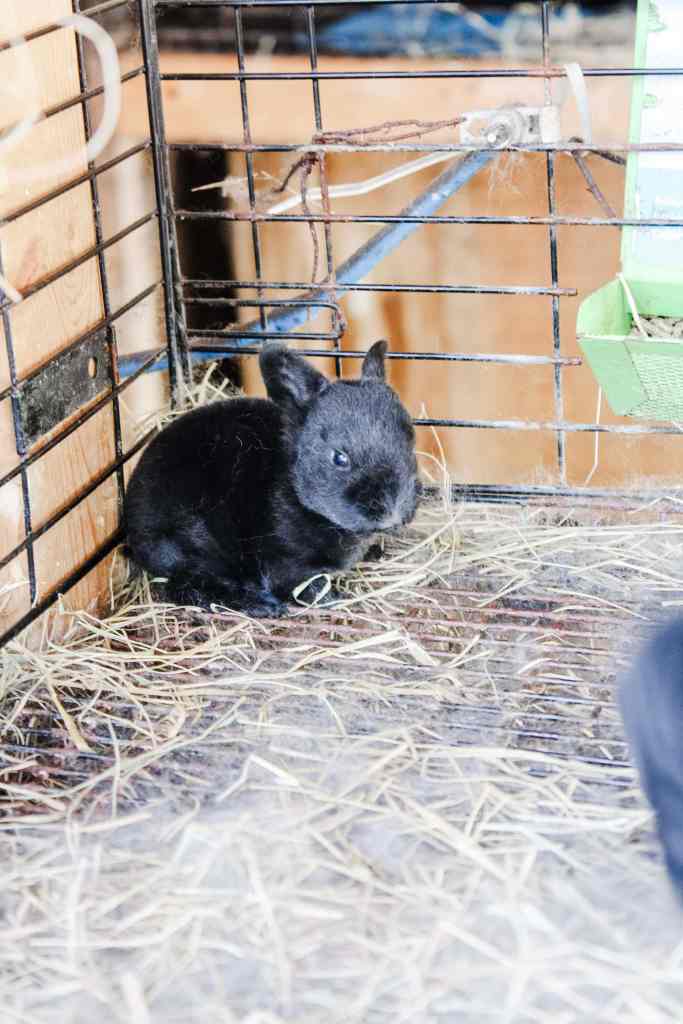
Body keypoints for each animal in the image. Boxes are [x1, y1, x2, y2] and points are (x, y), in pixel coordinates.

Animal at [124, 340, 419, 617]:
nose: (394, 511)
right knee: (189, 589)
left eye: (409, 437)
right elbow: (307, 586)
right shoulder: (286, 562)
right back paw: (262, 606)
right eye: (339, 457)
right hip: (197, 546)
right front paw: (333, 599)